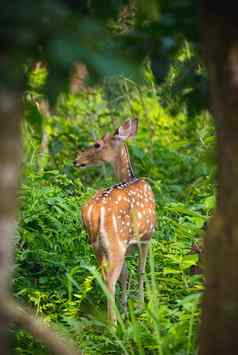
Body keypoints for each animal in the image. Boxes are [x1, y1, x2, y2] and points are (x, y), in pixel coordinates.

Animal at [74, 119, 156, 322]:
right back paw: (113, 323)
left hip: (97, 245)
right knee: (110, 279)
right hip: (115, 243)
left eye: (97, 144)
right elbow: (141, 269)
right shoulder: (147, 236)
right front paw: (141, 307)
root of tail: (95, 212)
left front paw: (126, 309)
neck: (131, 177)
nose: (76, 160)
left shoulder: (129, 245)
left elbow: (126, 274)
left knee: (103, 276)